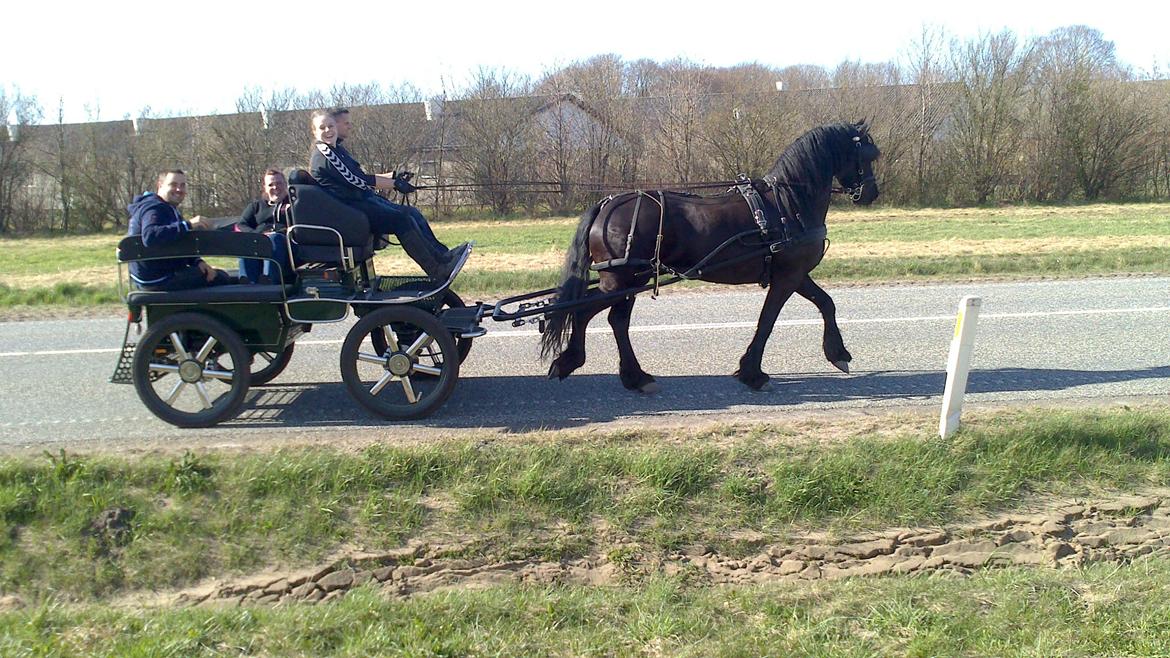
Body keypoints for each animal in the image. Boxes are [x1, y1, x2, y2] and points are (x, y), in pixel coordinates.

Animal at [538, 120, 879, 388]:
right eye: (867, 155)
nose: (871, 193)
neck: (789, 203)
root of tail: (606, 204)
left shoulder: (795, 274)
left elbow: (826, 303)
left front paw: (838, 354)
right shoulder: (788, 277)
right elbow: (768, 320)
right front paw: (752, 373)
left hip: (630, 279)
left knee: (609, 318)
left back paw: (627, 375)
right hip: (622, 279)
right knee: (593, 314)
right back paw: (586, 364)